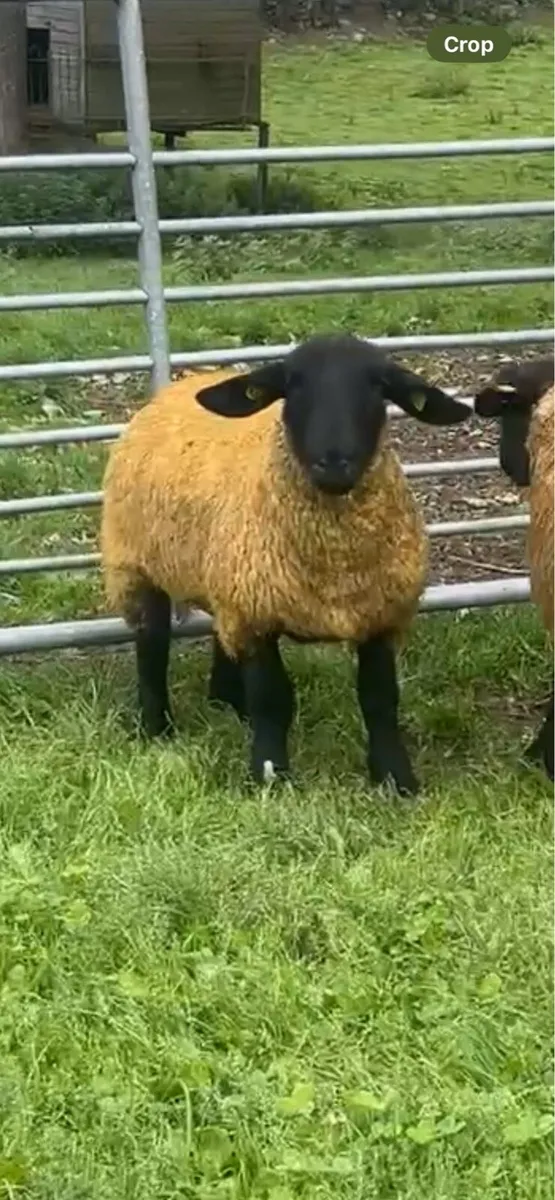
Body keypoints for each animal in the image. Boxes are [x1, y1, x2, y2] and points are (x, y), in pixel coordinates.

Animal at [101, 333, 470, 797]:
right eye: (293, 385)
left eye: (378, 386)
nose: (334, 461)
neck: (335, 565)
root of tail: (187, 383)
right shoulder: (258, 617)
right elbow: (273, 700)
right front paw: (269, 774)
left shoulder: (381, 615)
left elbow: (380, 700)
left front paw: (394, 779)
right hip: (135, 565)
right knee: (151, 647)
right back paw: (156, 729)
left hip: (226, 580)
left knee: (221, 637)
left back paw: (227, 702)